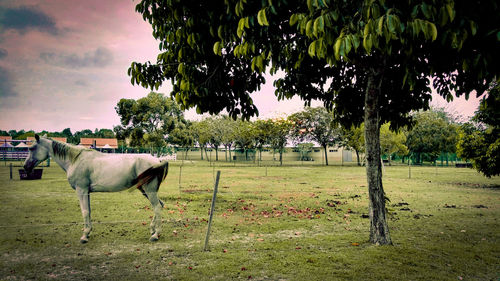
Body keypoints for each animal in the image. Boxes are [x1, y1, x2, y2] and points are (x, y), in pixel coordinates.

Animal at [23, 135, 169, 242]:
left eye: (32, 148)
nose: (25, 166)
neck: (75, 160)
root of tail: (158, 160)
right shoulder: (86, 193)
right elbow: (89, 211)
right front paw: (88, 233)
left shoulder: (81, 191)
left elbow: (85, 212)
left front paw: (84, 236)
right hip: (145, 191)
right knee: (160, 205)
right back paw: (153, 229)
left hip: (149, 190)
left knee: (157, 207)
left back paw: (155, 235)